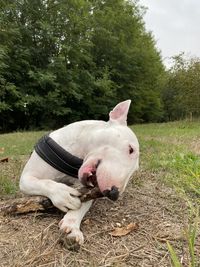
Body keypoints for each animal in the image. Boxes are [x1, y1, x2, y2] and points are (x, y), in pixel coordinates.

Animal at [19, 100, 139, 245]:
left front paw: (72, 227)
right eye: (131, 149)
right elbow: (45, 183)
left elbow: (83, 204)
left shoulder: (86, 189)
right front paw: (63, 195)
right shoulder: (26, 178)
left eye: (135, 171)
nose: (114, 194)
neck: (76, 152)